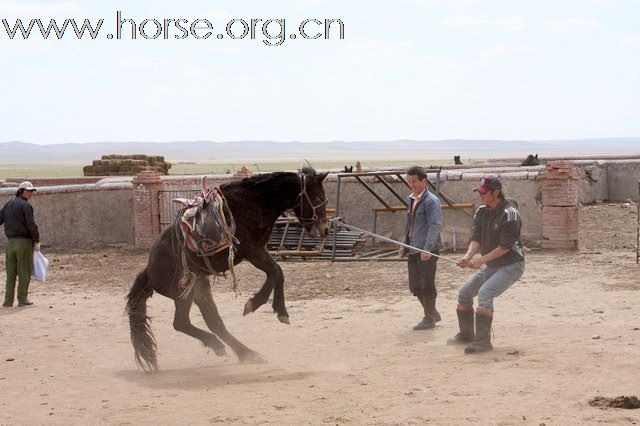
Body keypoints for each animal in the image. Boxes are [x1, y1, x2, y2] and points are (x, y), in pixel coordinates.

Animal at [128, 168, 332, 372]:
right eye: (320, 197)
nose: (325, 229)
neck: (253, 202)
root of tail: (149, 271)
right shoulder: (251, 250)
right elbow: (276, 272)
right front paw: (256, 304)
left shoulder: (260, 249)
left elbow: (278, 273)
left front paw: (280, 311)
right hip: (183, 294)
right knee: (182, 323)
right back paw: (219, 345)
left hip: (200, 290)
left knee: (214, 322)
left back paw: (246, 353)